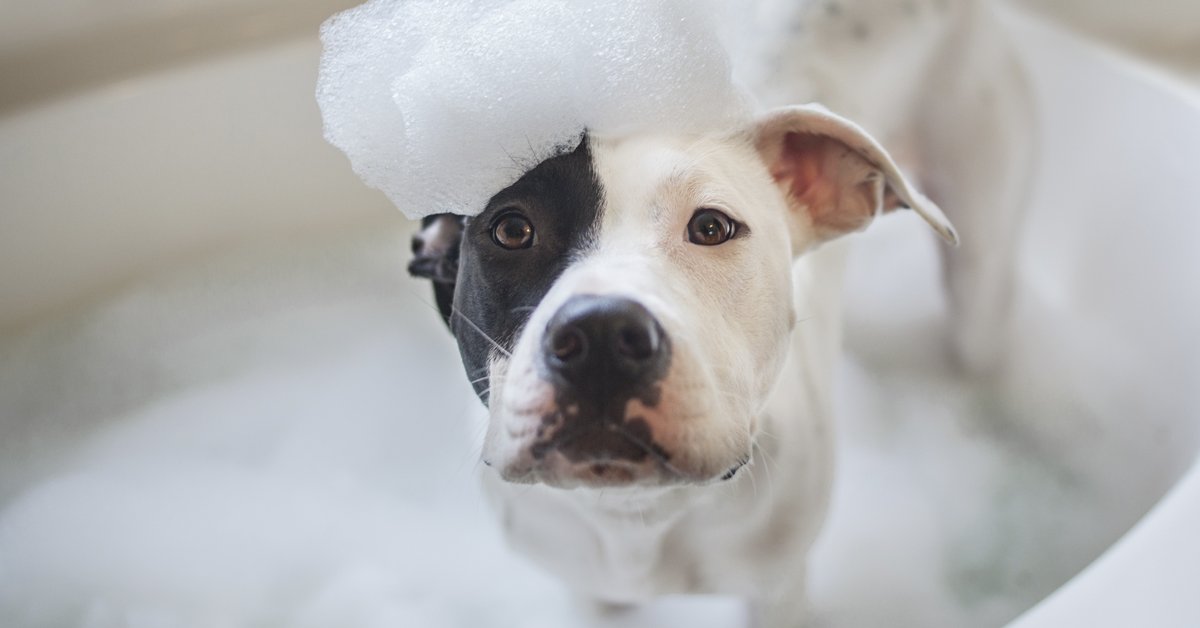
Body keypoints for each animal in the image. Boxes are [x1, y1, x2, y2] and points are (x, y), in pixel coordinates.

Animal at [410, 0, 1032, 624]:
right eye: (512, 230)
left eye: (712, 227)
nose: (602, 334)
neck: (638, 518)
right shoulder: (589, 589)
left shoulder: (776, 590)